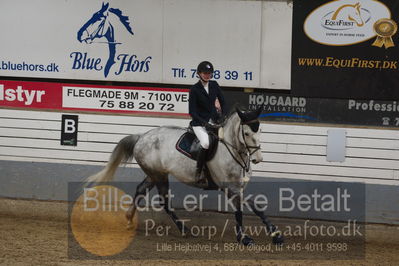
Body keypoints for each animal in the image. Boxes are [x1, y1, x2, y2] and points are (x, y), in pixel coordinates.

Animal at [86, 107, 284, 245]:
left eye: (260, 131)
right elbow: (247, 208)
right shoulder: (230, 188)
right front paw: (255, 237)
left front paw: (263, 234)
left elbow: (248, 208)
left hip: (155, 174)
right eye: (247, 133)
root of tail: (141, 136)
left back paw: (128, 219)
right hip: (158, 176)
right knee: (164, 201)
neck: (233, 150)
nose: (258, 159)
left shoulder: (238, 187)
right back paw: (184, 229)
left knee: (141, 190)